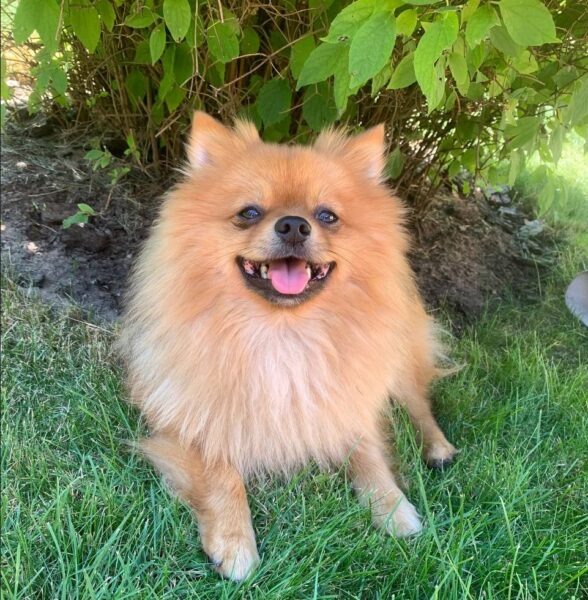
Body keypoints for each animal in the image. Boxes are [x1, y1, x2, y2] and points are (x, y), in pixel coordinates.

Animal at [119, 112, 457, 581]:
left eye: (327, 215)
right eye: (249, 213)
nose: (294, 225)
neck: (283, 333)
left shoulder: (348, 405)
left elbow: (368, 455)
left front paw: (392, 507)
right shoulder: (192, 419)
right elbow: (222, 474)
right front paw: (235, 541)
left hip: (400, 363)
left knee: (420, 405)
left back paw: (439, 449)